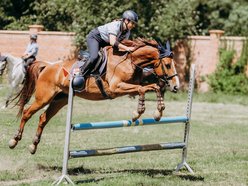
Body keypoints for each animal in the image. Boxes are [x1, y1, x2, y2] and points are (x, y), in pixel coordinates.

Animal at [8, 38, 179, 154]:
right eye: (168, 65)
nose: (176, 86)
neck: (129, 60)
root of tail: (48, 66)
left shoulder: (129, 88)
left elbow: (151, 87)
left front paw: (158, 112)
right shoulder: (116, 88)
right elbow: (143, 89)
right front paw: (138, 112)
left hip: (60, 100)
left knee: (43, 118)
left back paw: (33, 145)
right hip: (43, 98)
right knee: (27, 113)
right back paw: (14, 140)